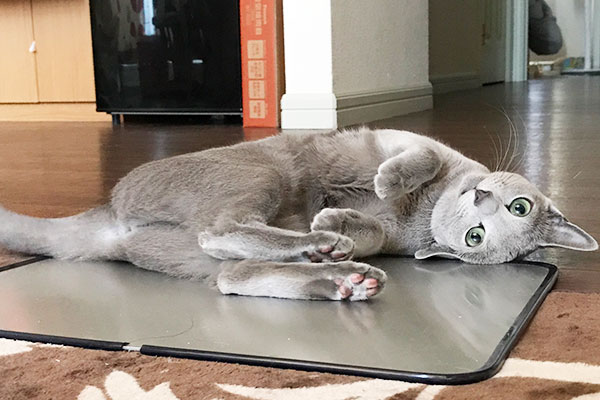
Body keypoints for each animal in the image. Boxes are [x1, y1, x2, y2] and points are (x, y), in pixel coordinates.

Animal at [0, 128, 596, 301]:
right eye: (517, 205)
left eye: (475, 239)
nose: (482, 200)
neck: (426, 211)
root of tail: (112, 216)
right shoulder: (414, 144)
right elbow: (419, 160)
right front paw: (382, 184)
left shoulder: (388, 236)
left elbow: (370, 226)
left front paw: (333, 224)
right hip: (264, 169)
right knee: (226, 237)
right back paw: (328, 255)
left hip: (216, 232)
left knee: (228, 260)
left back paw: (338, 271)